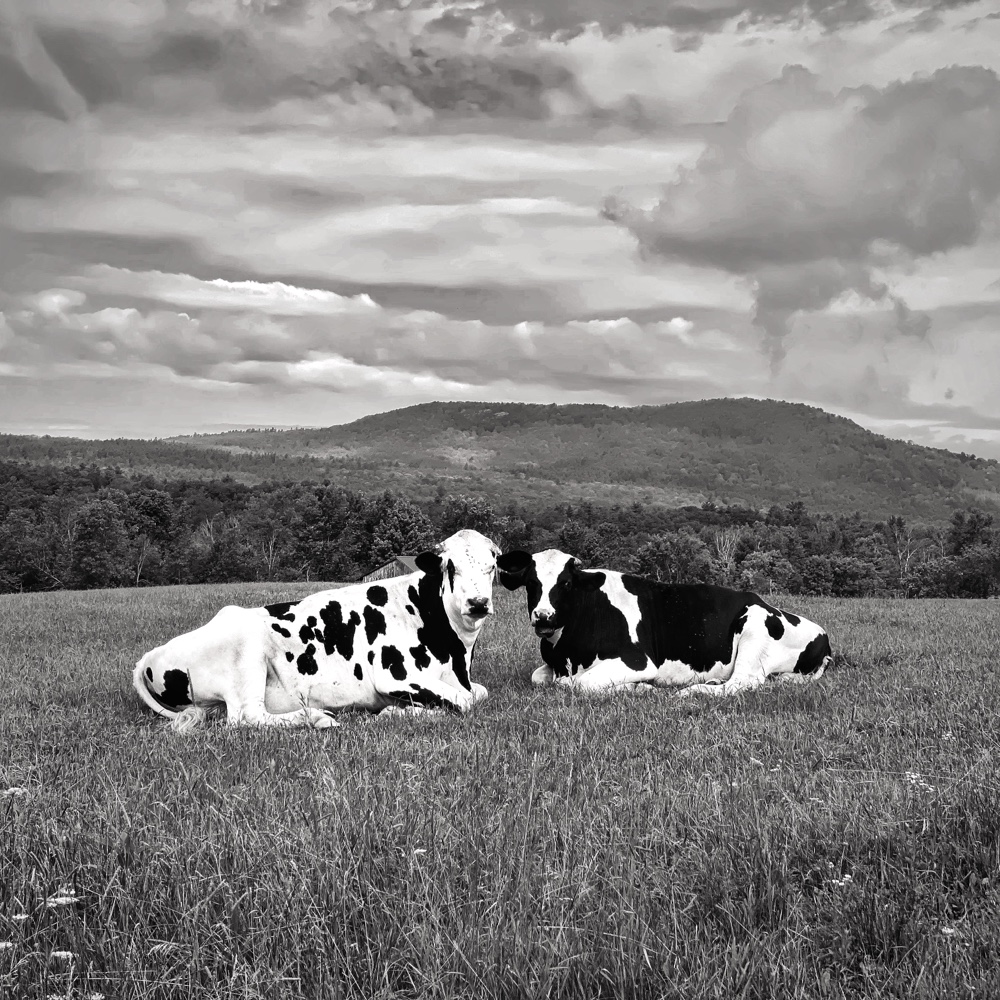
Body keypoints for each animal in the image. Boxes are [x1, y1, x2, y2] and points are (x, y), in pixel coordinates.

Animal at [135, 528, 500, 732]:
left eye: (492, 565)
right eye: (451, 566)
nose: (478, 602)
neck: (457, 651)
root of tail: (151, 654)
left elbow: (477, 693)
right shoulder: (395, 675)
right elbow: (465, 702)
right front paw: (394, 713)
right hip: (246, 654)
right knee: (247, 717)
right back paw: (317, 718)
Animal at [496, 548, 832, 696]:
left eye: (565, 584)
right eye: (530, 583)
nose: (543, 616)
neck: (566, 652)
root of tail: (823, 636)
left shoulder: (637, 661)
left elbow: (580, 684)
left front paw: (640, 688)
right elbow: (538, 677)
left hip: (755, 625)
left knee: (742, 683)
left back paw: (694, 691)